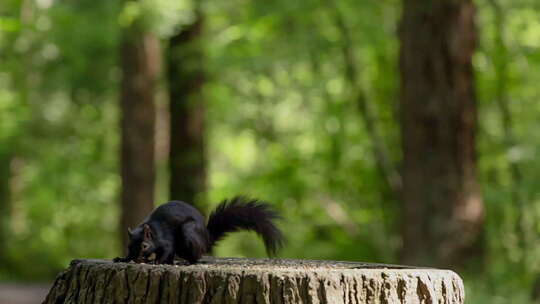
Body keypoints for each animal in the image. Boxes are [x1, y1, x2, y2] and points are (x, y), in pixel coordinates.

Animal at [112, 197, 284, 264]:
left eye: (144, 246)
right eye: (129, 246)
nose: (137, 257)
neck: (152, 231)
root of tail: (206, 239)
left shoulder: (164, 240)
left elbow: (166, 249)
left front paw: (157, 261)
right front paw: (123, 259)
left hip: (188, 232)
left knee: (194, 257)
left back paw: (186, 262)